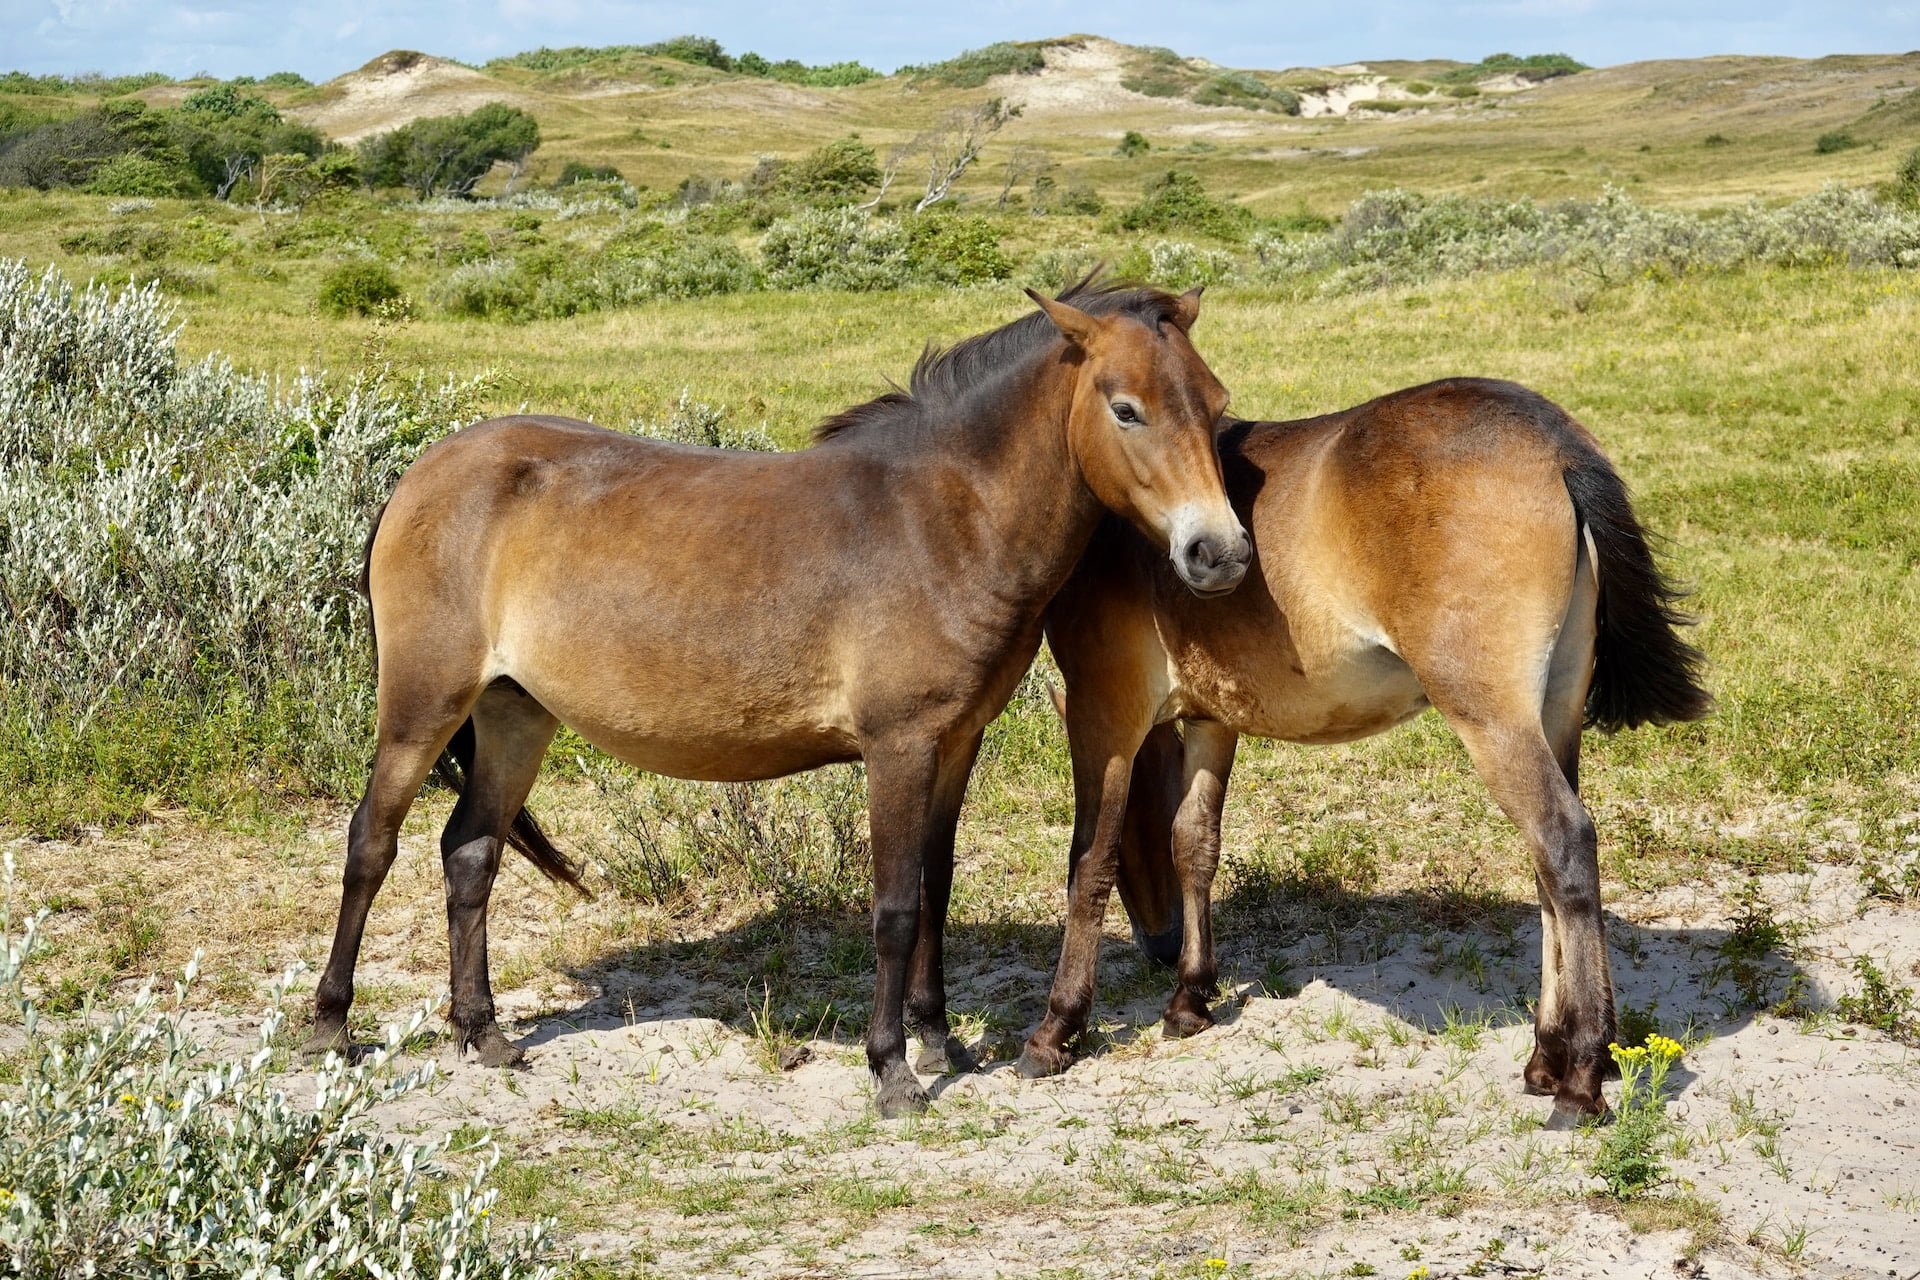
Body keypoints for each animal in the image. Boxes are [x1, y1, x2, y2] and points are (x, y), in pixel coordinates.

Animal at [305, 278, 1251, 1113]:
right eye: (1125, 408)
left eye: (1214, 400)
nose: (1221, 553)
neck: (944, 519)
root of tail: (423, 472)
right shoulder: (898, 746)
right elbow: (895, 907)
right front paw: (892, 1071)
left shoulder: (955, 743)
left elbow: (935, 888)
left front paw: (938, 1038)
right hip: (423, 707)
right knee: (371, 844)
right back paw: (329, 1027)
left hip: (513, 714)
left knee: (470, 853)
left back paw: (484, 1033)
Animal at [1021, 378, 1712, 1120]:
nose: (1160, 943)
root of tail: (1556, 442)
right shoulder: (1214, 719)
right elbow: (1196, 842)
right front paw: (1189, 998)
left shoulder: (1104, 715)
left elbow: (1090, 861)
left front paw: (1057, 1028)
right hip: (1554, 713)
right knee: (1550, 872)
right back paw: (1547, 1057)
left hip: (1494, 719)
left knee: (1564, 842)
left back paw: (1581, 1075)